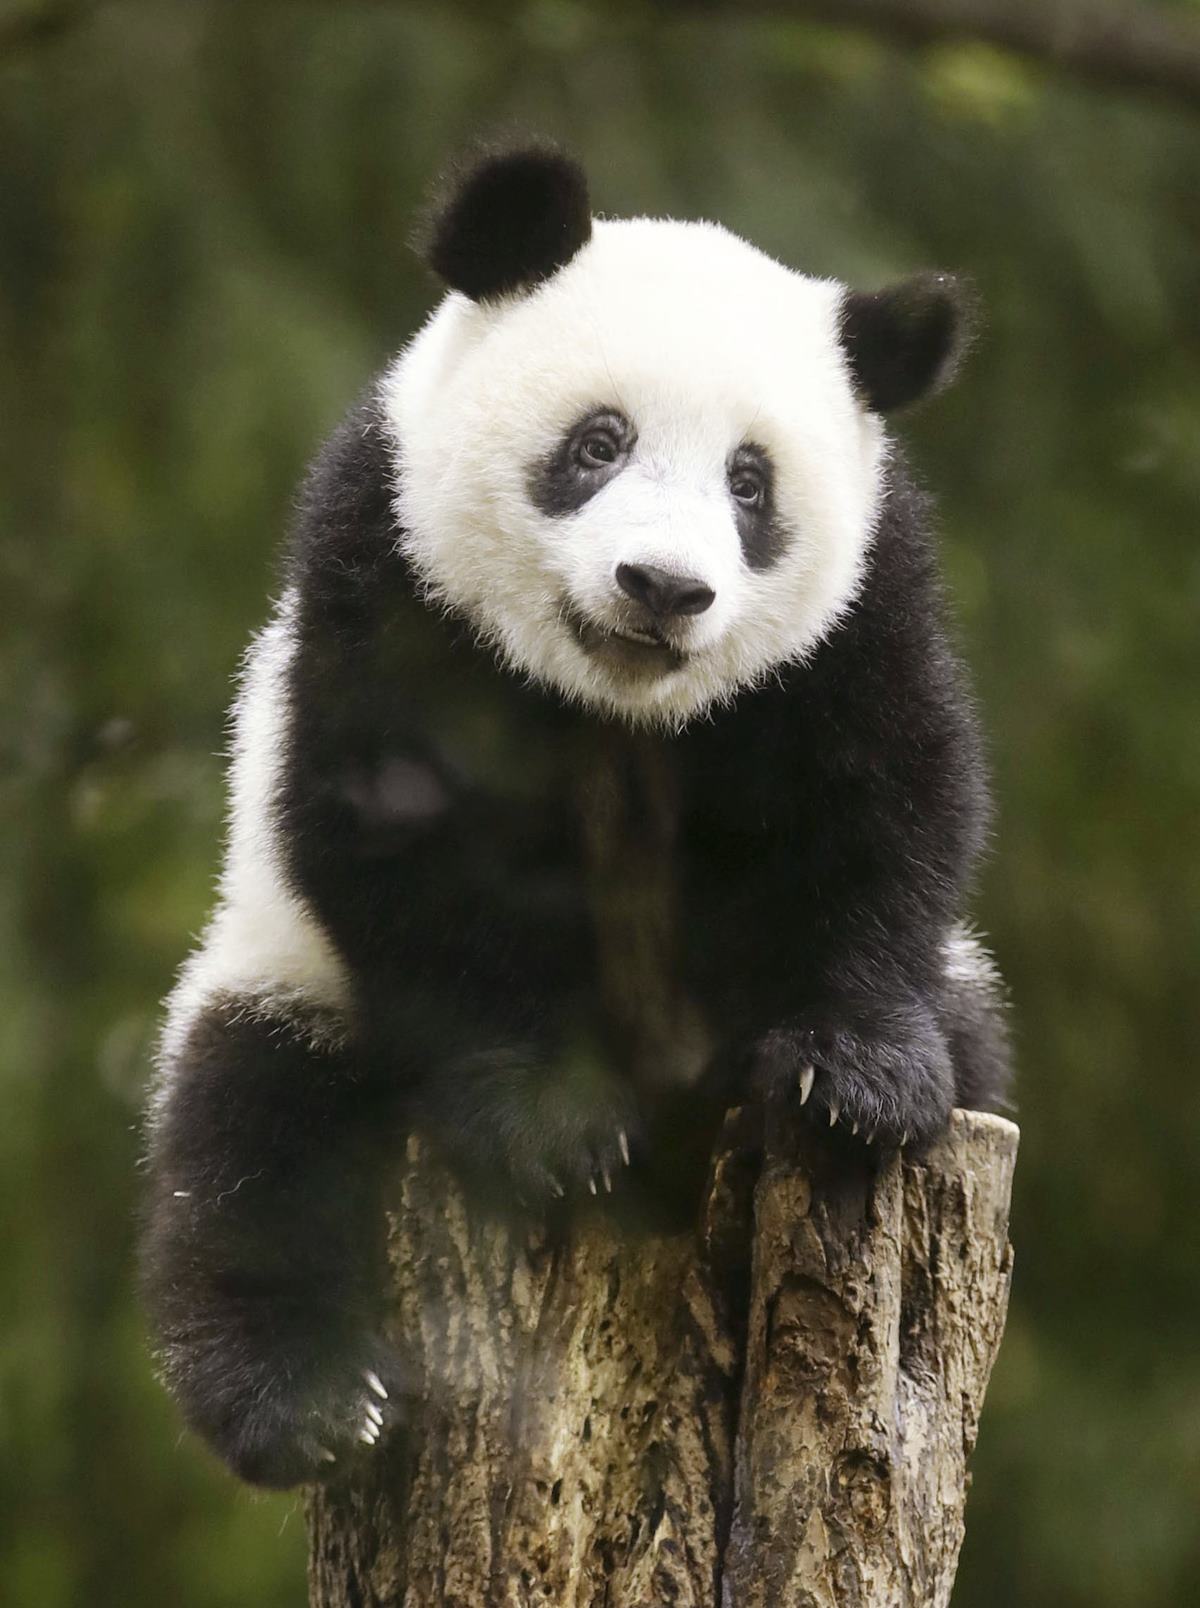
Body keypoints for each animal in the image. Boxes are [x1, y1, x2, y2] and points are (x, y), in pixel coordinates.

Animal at [142, 144, 1010, 1485]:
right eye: (600, 442)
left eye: (750, 483)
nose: (664, 587)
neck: (620, 710)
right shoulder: (386, 564)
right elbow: (392, 838)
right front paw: (552, 1115)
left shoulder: (864, 616)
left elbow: (889, 804)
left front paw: (853, 1074)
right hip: (290, 979)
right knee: (250, 1142)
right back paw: (311, 1402)